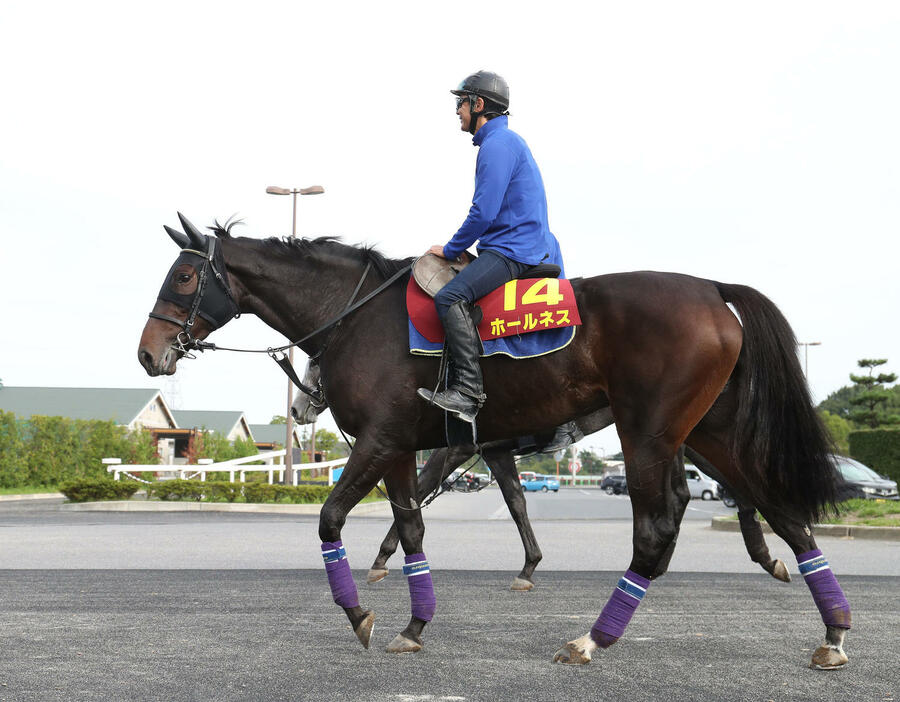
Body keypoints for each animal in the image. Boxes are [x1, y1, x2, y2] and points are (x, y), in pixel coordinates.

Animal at [139, 217, 852, 672]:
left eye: (182, 278)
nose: (148, 353)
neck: (361, 317)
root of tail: (711, 288)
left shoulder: (387, 440)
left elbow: (331, 518)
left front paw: (359, 612)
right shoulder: (406, 446)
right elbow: (418, 525)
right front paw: (414, 623)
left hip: (651, 431)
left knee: (659, 527)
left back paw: (592, 640)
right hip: (710, 431)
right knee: (783, 511)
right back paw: (833, 630)